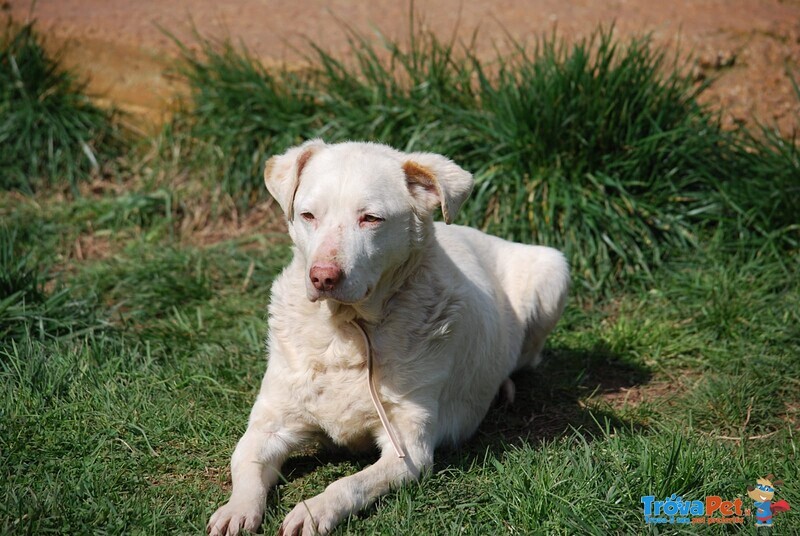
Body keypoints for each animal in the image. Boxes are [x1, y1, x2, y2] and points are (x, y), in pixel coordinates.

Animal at [206, 141, 568, 536]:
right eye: (308, 215)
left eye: (371, 219)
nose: (322, 277)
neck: (346, 331)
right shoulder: (268, 425)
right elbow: (246, 463)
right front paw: (237, 510)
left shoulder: (409, 449)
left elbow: (348, 484)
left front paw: (314, 511)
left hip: (553, 269)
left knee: (525, 359)